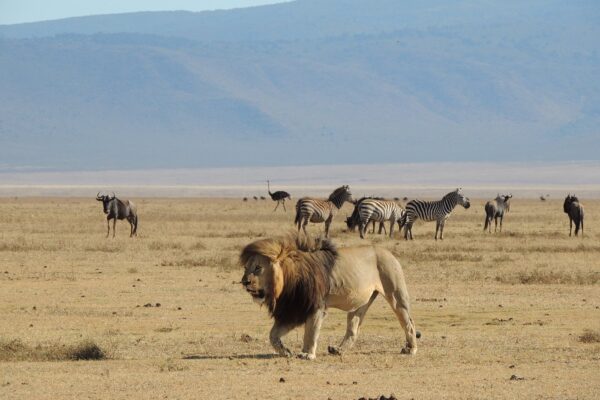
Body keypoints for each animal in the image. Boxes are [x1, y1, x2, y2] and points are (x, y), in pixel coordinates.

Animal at [239, 236, 418, 360]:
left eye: (258, 268)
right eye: (246, 268)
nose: (244, 281)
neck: (287, 281)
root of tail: (388, 252)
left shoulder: (316, 307)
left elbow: (311, 332)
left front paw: (307, 354)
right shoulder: (294, 310)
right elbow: (273, 335)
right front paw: (286, 351)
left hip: (396, 294)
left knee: (409, 323)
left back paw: (410, 349)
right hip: (360, 304)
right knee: (353, 330)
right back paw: (338, 350)